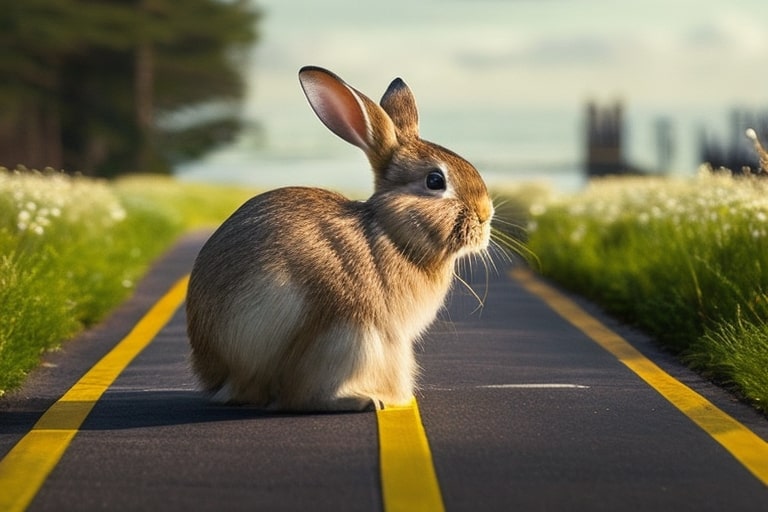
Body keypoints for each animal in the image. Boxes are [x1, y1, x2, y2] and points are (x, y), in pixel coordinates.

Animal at [186, 66, 494, 412]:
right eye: (435, 181)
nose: (485, 215)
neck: (391, 232)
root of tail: (226, 380)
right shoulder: (383, 337)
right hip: (349, 337)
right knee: (300, 396)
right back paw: (367, 400)